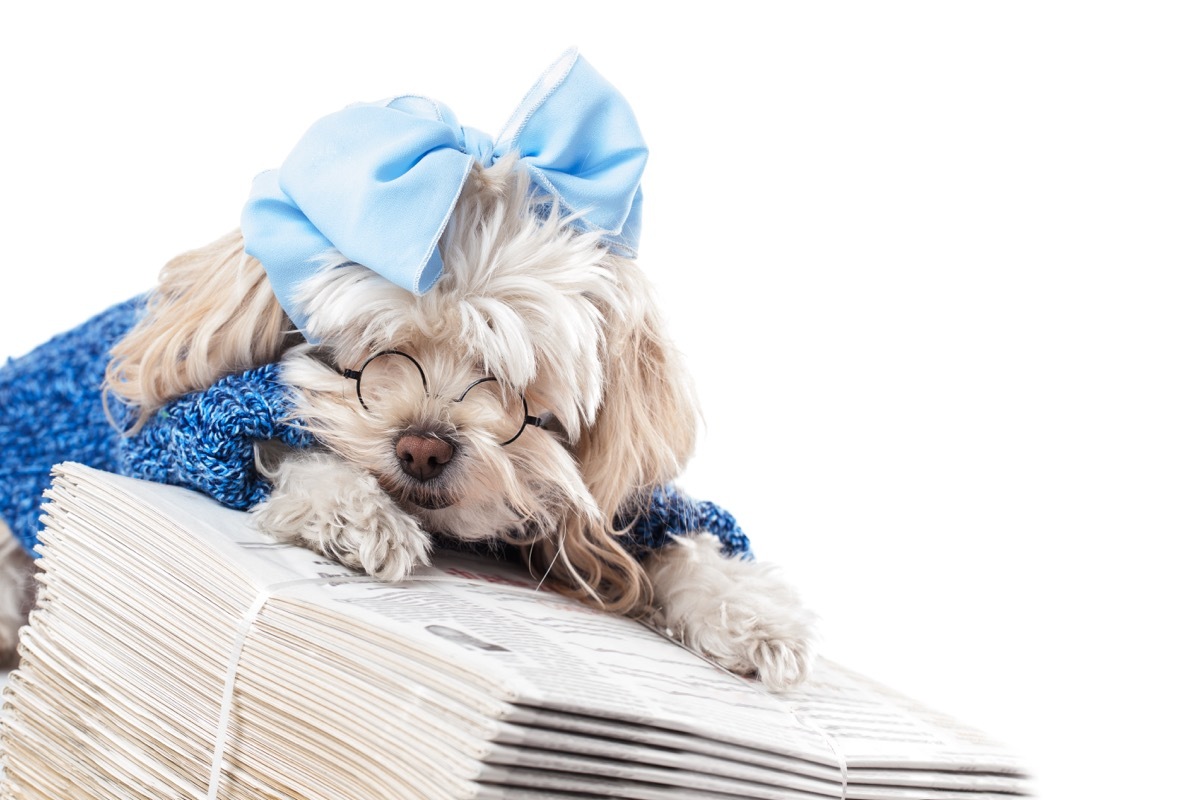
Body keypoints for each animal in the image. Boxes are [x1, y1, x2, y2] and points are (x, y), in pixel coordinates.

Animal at [0, 48, 816, 690]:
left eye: (509, 385)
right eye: (372, 355)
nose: (423, 448)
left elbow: (681, 541)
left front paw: (745, 609)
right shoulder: (178, 436)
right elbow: (277, 445)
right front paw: (354, 510)